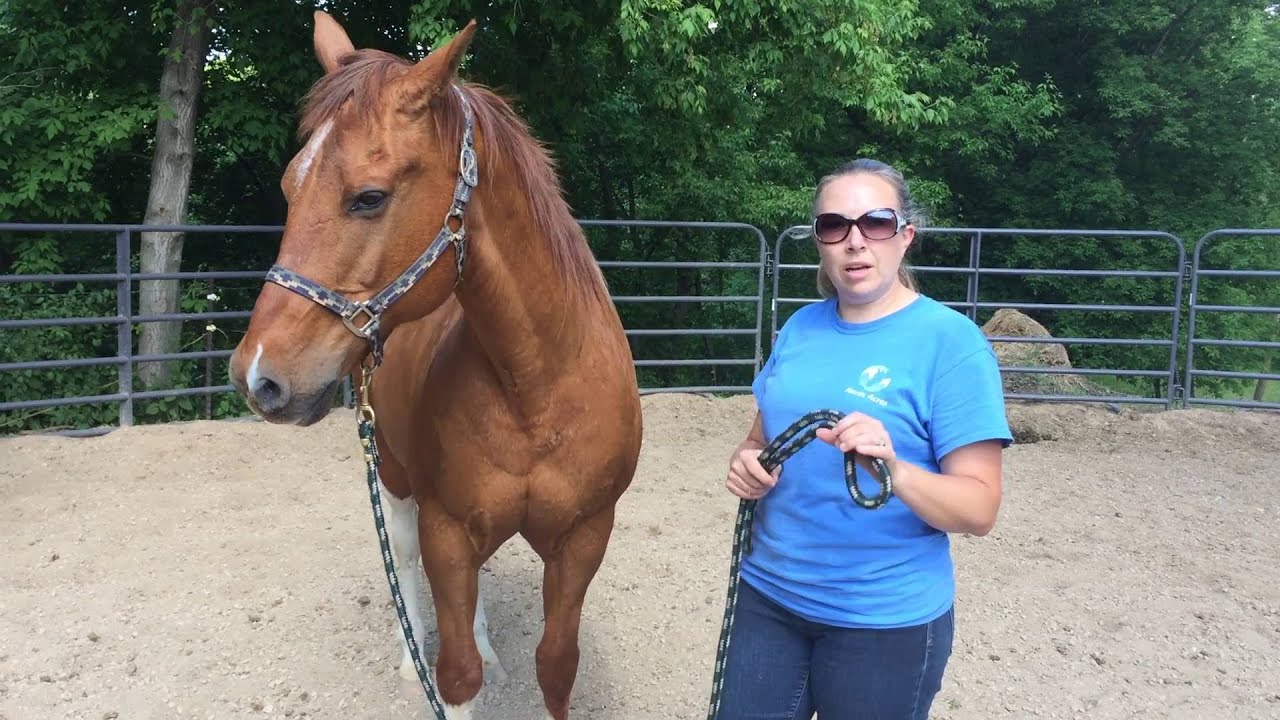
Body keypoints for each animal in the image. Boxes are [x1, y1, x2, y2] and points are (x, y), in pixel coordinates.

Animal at [227, 12, 644, 720]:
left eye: (368, 198)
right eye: (289, 186)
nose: (258, 376)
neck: (536, 388)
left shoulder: (584, 538)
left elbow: (556, 666)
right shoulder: (446, 532)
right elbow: (455, 675)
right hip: (392, 473)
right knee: (402, 555)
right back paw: (409, 654)